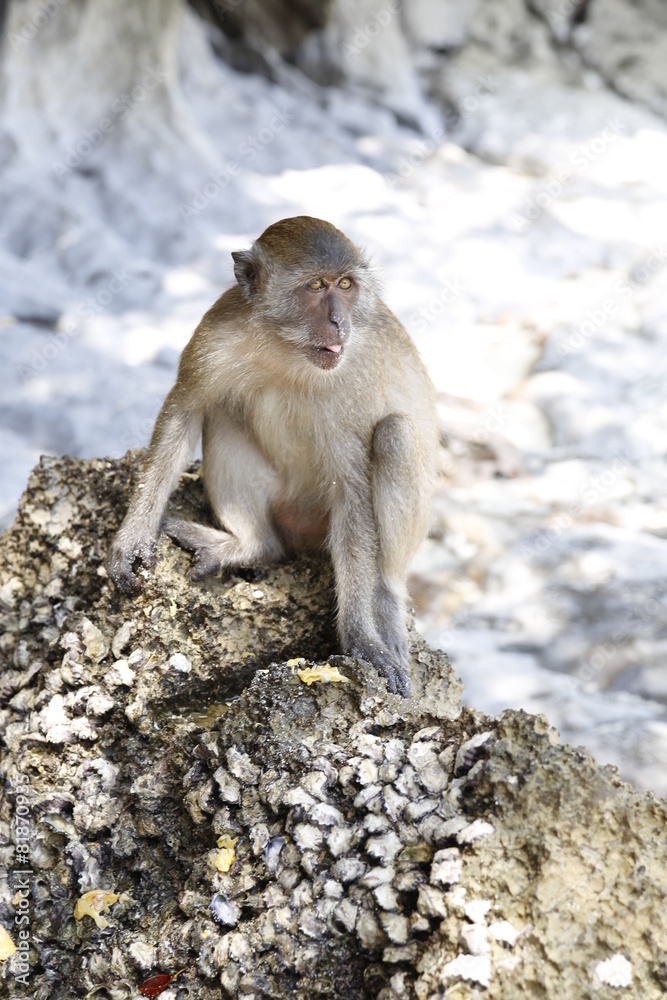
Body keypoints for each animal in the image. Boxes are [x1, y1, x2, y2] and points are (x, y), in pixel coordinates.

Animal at [107, 216, 437, 696]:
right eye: (316, 286)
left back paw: (385, 601)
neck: (287, 348)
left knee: (396, 435)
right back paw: (252, 547)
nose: (339, 322)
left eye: (345, 284)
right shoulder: (215, 336)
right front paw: (132, 538)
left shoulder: (351, 380)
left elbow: (353, 489)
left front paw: (360, 636)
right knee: (223, 411)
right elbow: (185, 412)